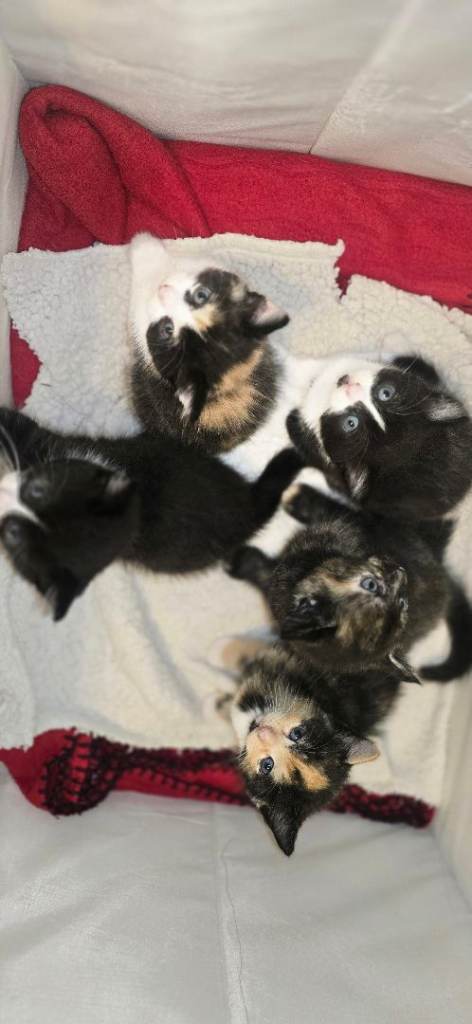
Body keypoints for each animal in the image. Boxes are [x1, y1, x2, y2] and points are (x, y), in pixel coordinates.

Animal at [229, 484, 472, 682]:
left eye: (402, 603)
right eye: (370, 585)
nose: (401, 573)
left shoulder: (350, 526)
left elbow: (336, 509)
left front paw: (300, 498)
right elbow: (268, 576)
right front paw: (245, 563)